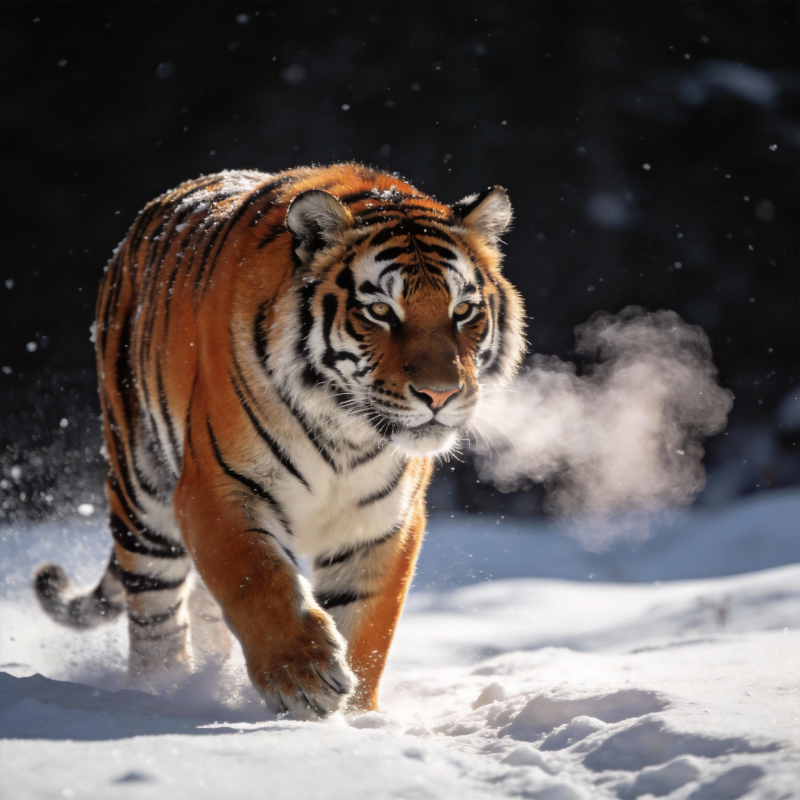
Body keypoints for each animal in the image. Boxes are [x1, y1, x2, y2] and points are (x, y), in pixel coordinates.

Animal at [35, 163, 526, 717]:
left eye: (462, 310)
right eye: (380, 311)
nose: (439, 394)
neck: (348, 429)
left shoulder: (382, 519)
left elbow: (367, 628)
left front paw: (357, 717)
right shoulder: (217, 488)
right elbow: (257, 579)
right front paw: (305, 677)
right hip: (142, 494)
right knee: (155, 616)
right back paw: (162, 691)